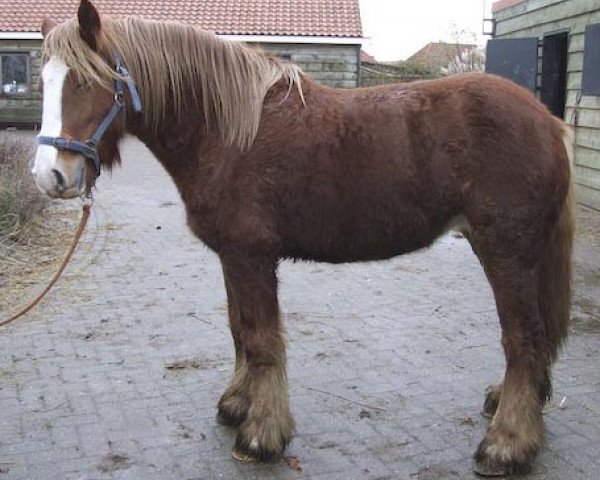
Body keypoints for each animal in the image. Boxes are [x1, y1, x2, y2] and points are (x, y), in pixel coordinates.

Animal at [34, 0, 576, 472]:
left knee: (523, 339)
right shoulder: (233, 257)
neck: (227, 132)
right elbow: (239, 330)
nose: (50, 175)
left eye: (85, 81)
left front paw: (262, 435)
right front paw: (237, 404)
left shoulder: (252, 256)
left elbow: (261, 339)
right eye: (42, 81)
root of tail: (548, 121)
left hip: (506, 254)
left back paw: (506, 446)